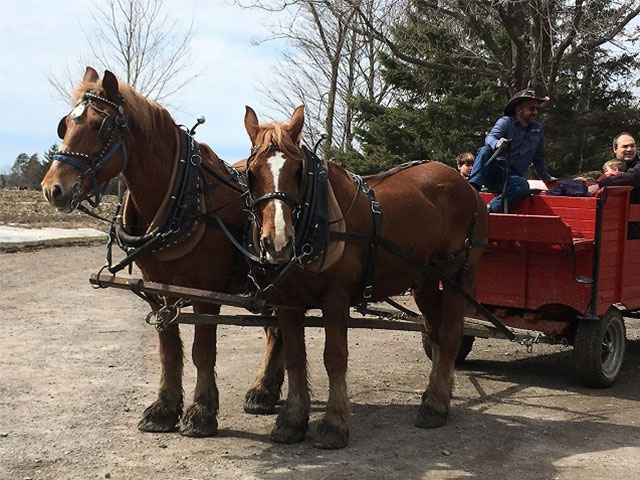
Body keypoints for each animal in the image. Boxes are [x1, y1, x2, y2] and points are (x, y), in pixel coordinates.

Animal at [41, 67, 286, 438]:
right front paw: (164, 409)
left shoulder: (205, 293)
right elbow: (169, 351)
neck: (180, 196)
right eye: (64, 125)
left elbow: (202, 352)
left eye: (100, 126)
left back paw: (264, 390)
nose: (52, 189)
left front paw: (201, 412)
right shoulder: (158, 291)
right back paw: (266, 389)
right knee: (275, 328)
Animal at [242, 105, 488, 450]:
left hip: (457, 276)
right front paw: (292, 420)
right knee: (436, 332)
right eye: (250, 173)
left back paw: (436, 405)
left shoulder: (335, 298)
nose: (278, 242)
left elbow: (334, 357)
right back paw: (436, 393)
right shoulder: (288, 302)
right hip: (426, 280)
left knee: (452, 334)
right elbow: (295, 358)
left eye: (298, 171)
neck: (316, 220)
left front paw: (334, 424)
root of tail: (468, 187)